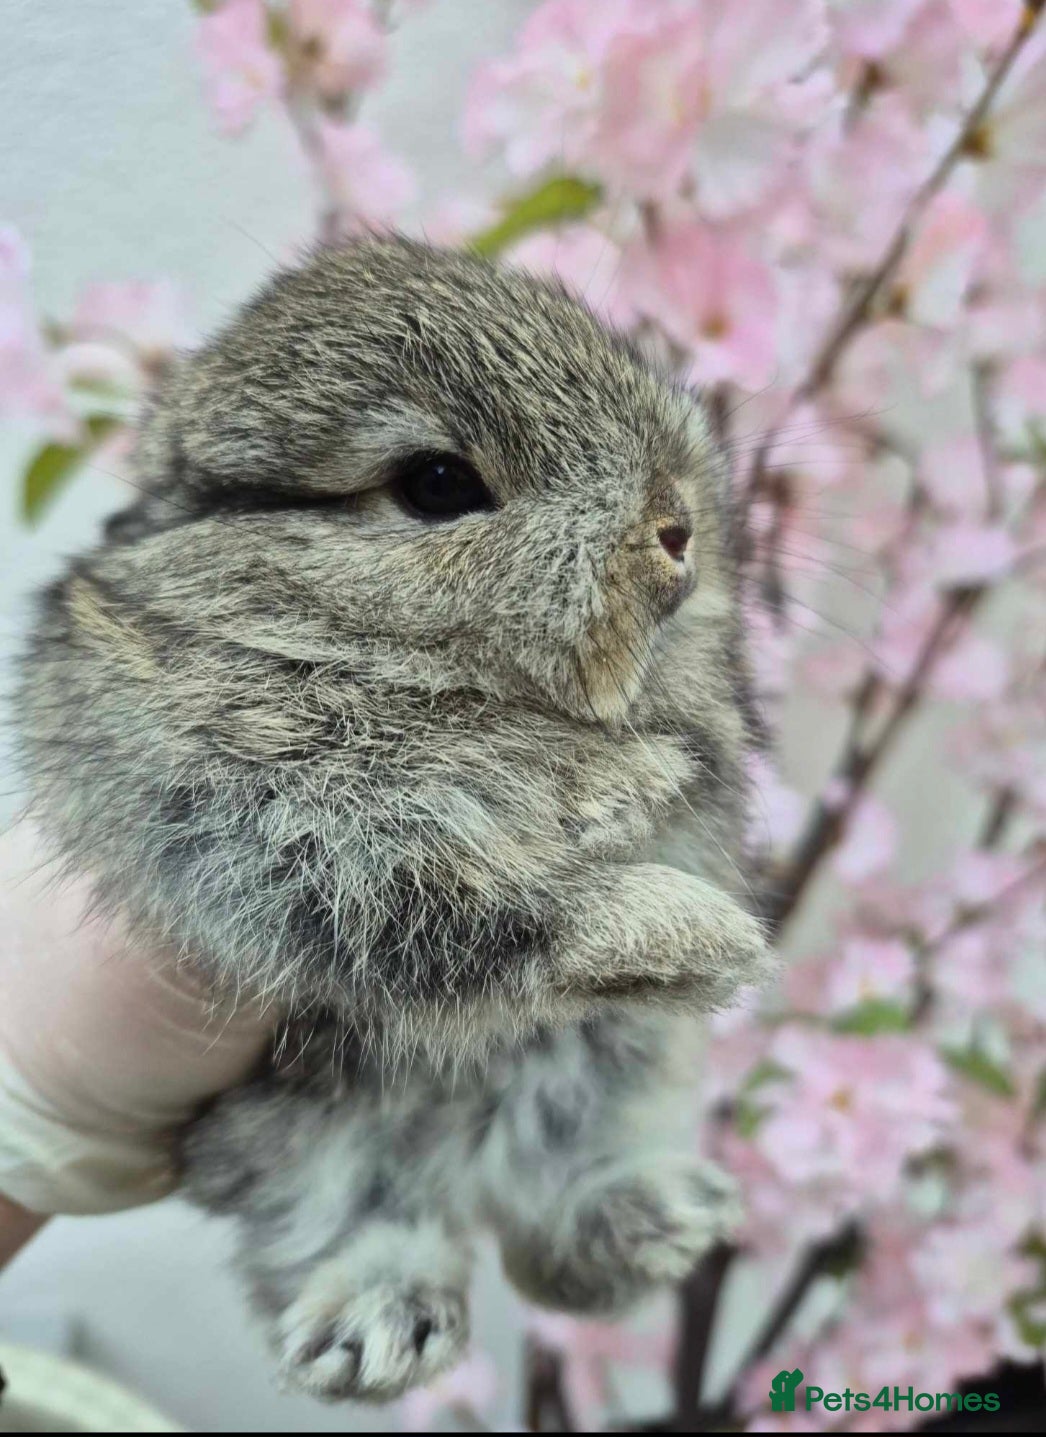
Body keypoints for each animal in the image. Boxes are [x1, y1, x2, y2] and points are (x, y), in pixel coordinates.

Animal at [16, 236, 771, 1402]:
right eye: (435, 485)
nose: (676, 526)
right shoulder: (291, 843)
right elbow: (489, 919)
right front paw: (694, 923)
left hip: (604, 1088)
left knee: (549, 1230)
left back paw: (668, 1218)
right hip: (304, 1144)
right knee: (351, 1229)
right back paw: (377, 1331)